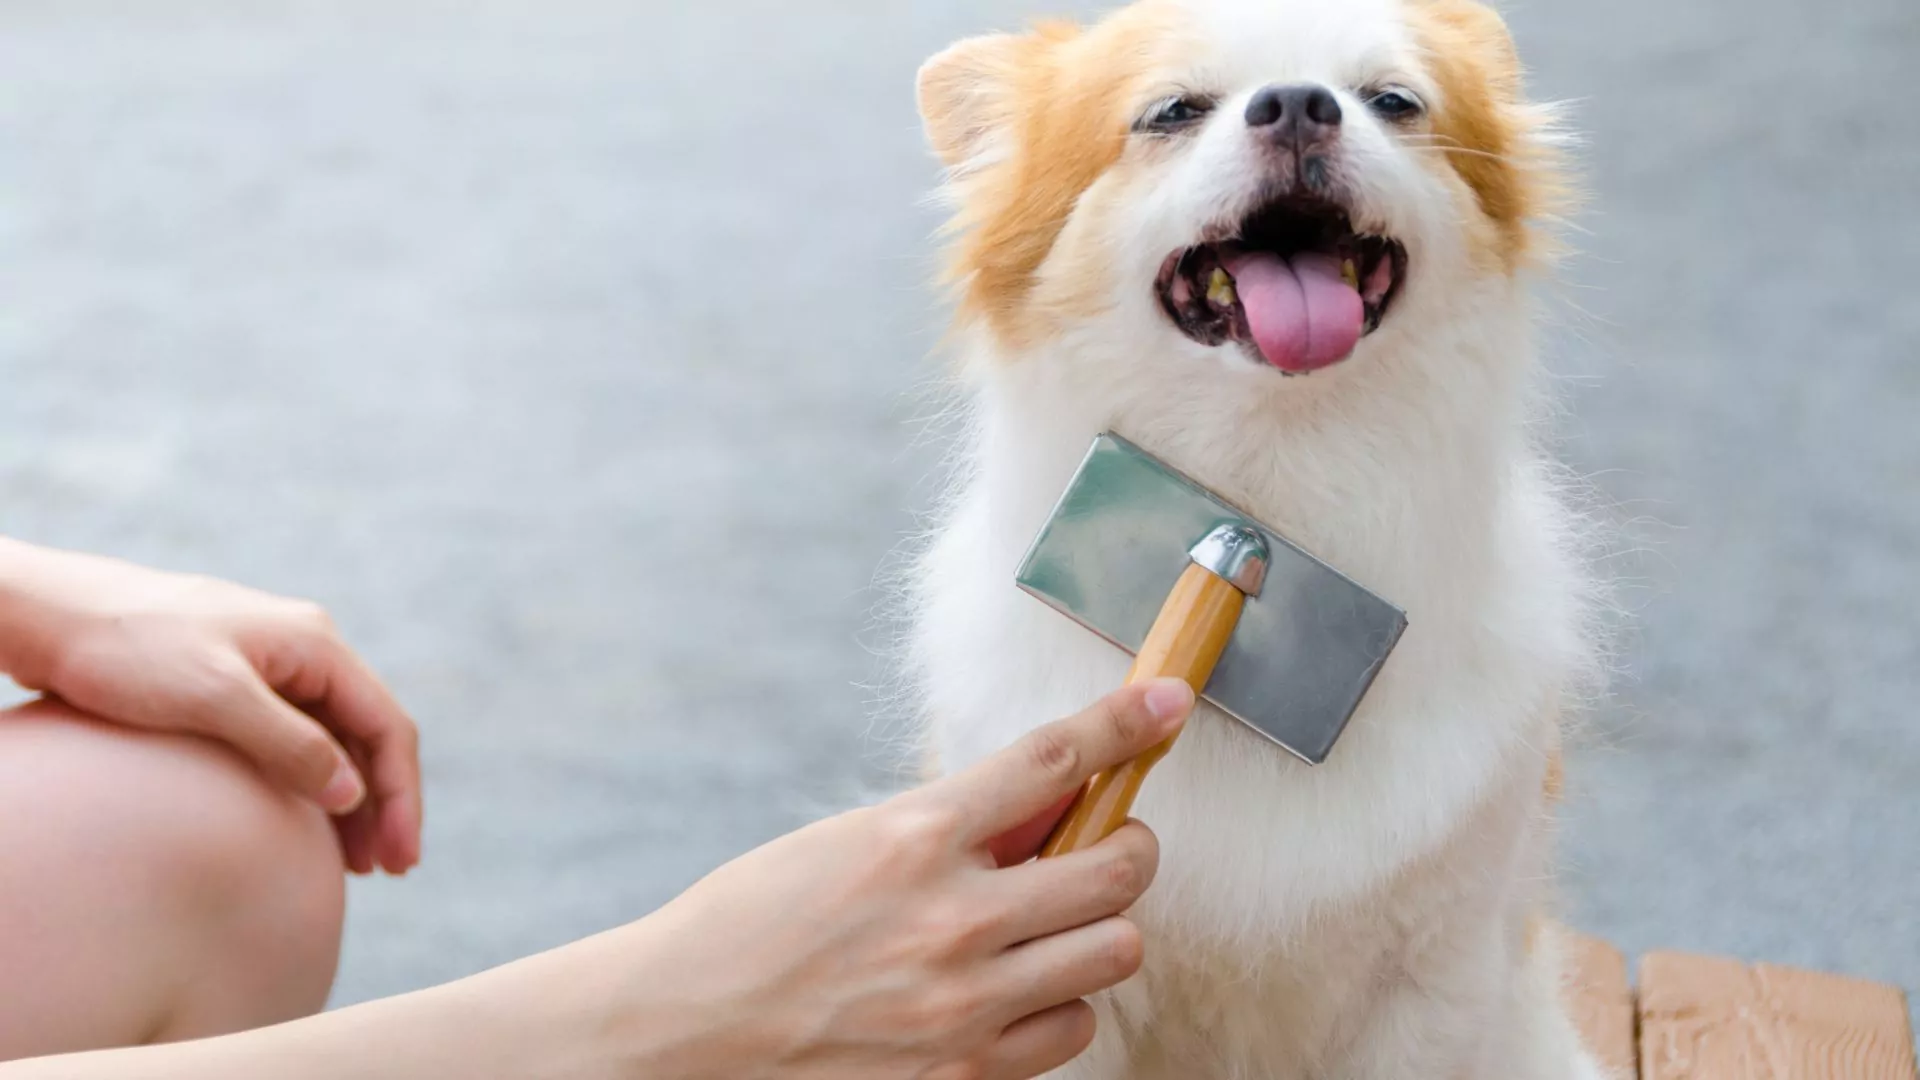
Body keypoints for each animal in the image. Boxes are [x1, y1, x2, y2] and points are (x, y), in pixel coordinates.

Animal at [906, 2, 1612, 1076]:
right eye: (1172, 112)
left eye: (1392, 100)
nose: (1297, 104)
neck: (1267, 494)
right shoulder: (1060, 981)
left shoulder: (1434, 981)